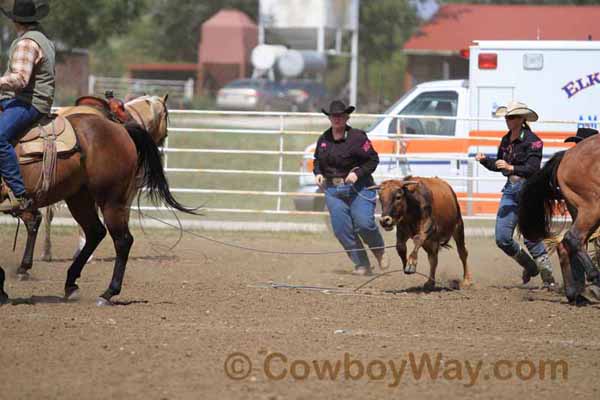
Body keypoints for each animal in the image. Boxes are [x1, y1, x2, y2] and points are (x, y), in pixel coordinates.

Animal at [0, 94, 195, 306]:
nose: (163, 140)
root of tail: (121, 130)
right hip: (81, 198)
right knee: (95, 231)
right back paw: (70, 281)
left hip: (107, 200)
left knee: (120, 239)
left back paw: (106, 292)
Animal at [516, 134, 600, 304]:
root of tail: (567, 154)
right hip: (592, 206)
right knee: (573, 238)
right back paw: (594, 278)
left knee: (565, 244)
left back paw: (573, 293)